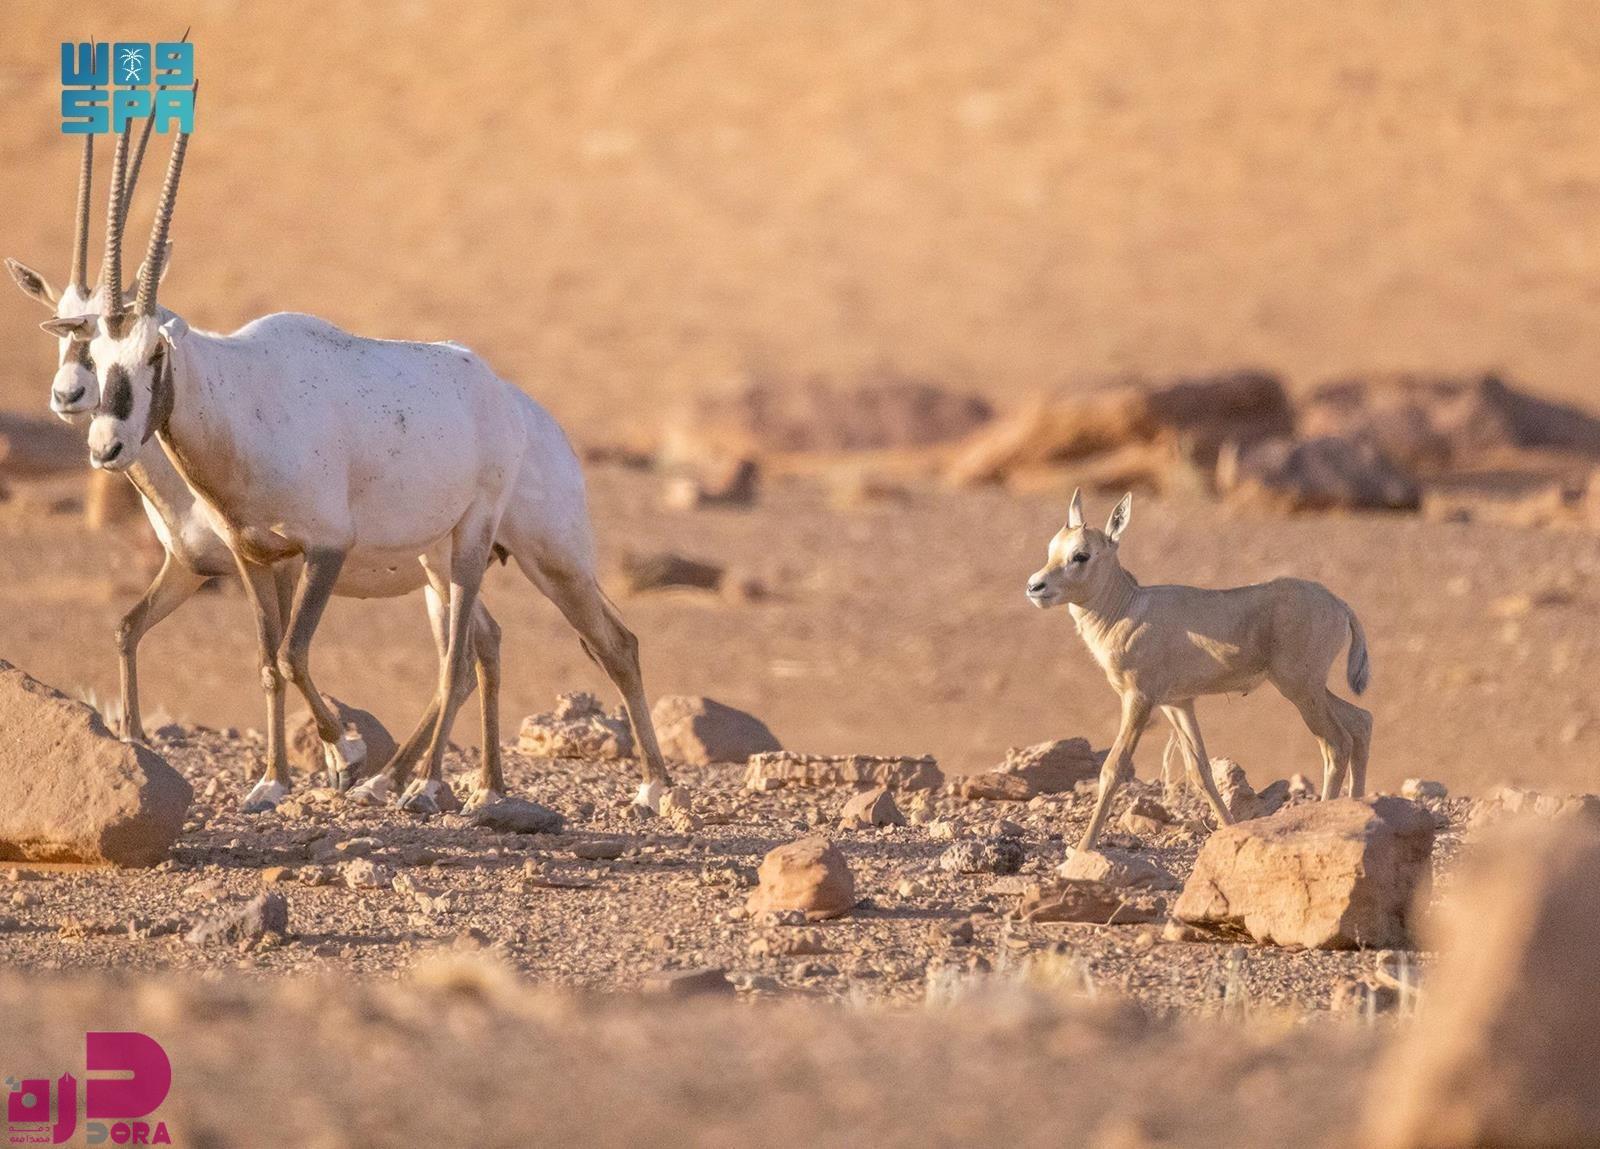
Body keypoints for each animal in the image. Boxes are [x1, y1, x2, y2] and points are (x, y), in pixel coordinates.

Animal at [1030, 489, 1369, 851]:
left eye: (1081, 555)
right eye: (1052, 548)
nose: (1035, 586)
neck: (1129, 608)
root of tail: (1339, 605)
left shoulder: (1138, 699)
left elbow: (1114, 767)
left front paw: (1082, 847)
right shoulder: (1178, 704)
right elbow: (1200, 770)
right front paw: (1229, 829)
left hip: (1300, 690)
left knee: (1336, 743)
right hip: (1311, 689)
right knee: (1361, 722)